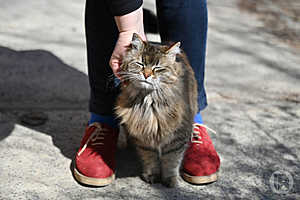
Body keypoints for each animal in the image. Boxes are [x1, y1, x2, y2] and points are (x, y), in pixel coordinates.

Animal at [114, 33, 197, 188]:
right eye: (140, 64)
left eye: (158, 68)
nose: (146, 75)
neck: (149, 103)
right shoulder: (144, 139)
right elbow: (150, 159)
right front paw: (151, 176)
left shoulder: (177, 139)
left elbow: (171, 161)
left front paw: (170, 180)